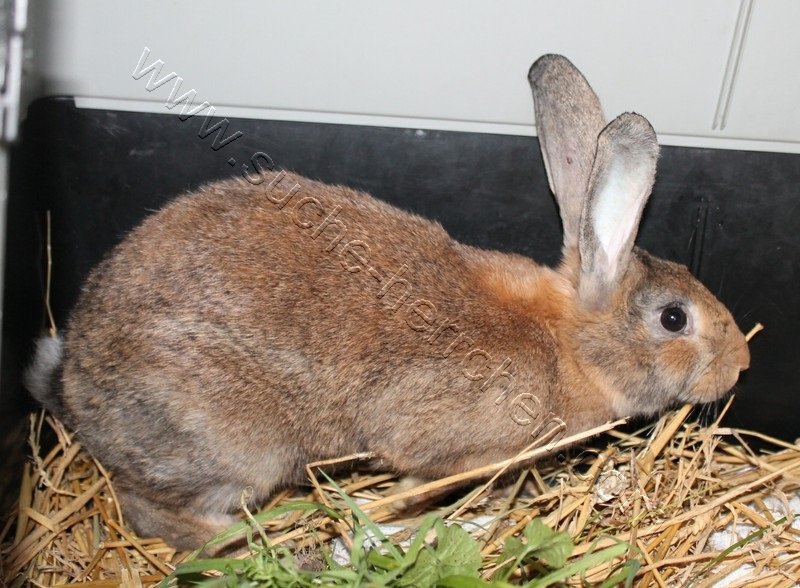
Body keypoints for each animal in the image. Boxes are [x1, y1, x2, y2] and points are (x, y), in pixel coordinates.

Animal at [25, 54, 750, 550]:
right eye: (674, 318)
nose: (740, 365)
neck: (568, 343)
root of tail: (75, 388)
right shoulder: (444, 442)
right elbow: (420, 481)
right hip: (234, 445)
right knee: (154, 512)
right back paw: (255, 541)